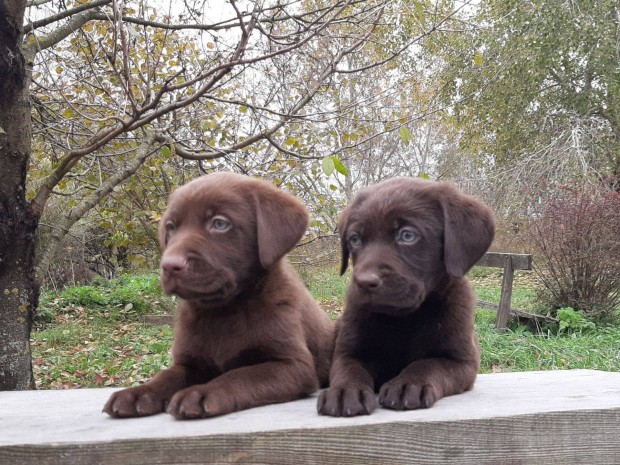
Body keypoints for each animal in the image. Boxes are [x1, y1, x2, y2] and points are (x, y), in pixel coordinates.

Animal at [104, 172, 334, 418]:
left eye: (220, 224)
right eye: (171, 227)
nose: (169, 265)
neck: (222, 310)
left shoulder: (292, 365)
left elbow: (240, 375)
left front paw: (202, 393)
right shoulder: (189, 362)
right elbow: (166, 376)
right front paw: (138, 393)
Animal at [318, 176, 492, 416]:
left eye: (407, 236)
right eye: (355, 239)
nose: (364, 282)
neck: (404, 319)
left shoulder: (462, 361)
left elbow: (427, 364)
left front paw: (407, 384)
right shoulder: (348, 352)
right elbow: (349, 369)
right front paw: (345, 391)